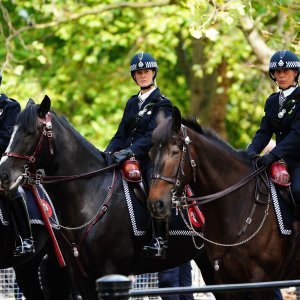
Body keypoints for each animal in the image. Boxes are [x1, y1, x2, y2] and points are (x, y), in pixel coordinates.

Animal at [0, 96, 217, 300]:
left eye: (30, 132)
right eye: (13, 131)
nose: (3, 174)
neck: (90, 196)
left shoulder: (112, 271)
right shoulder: (83, 276)